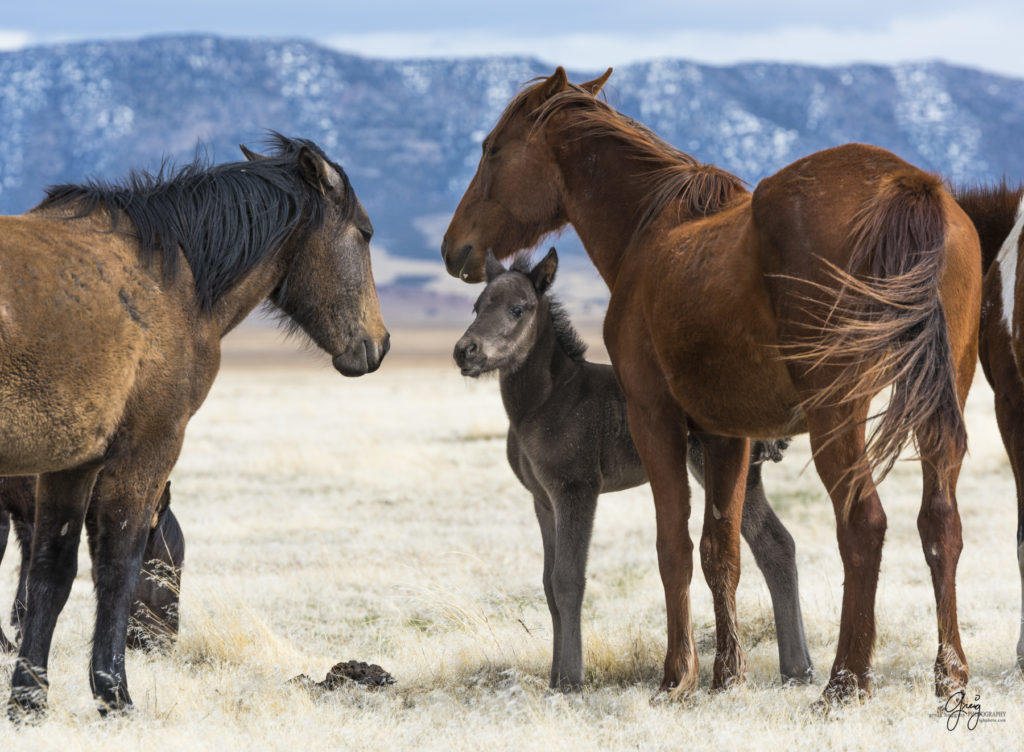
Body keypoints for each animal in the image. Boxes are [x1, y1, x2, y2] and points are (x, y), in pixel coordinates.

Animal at [0, 134, 389, 717]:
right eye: (364, 232)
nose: (379, 344)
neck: (175, 278)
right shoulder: (148, 448)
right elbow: (117, 566)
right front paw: (115, 695)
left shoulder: (74, 465)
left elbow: (51, 573)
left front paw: (28, 700)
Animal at [452, 249, 811, 692]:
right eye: (477, 306)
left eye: (518, 308)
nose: (465, 351)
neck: (544, 402)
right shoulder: (543, 500)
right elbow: (548, 585)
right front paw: (555, 677)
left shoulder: (577, 490)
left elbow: (568, 579)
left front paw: (570, 680)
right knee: (776, 545)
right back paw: (799, 669)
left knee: (772, 544)